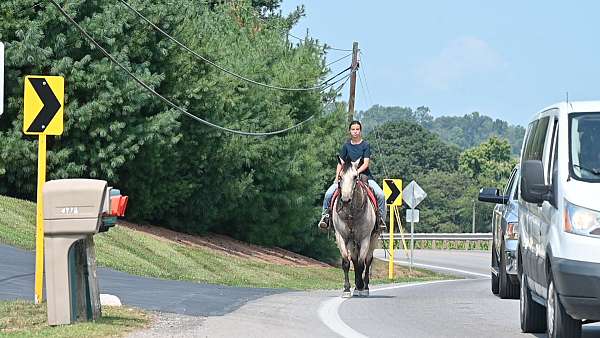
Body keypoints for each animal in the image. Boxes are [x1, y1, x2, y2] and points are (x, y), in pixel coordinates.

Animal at [330, 157, 378, 298]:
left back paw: (364, 287)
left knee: (368, 261)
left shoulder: (365, 238)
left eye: (355, 177)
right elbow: (347, 262)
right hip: (352, 242)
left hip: (373, 239)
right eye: (340, 177)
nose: (345, 200)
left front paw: (361, 286)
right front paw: (347, 289)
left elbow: (362, 264)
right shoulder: (341, 236)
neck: (351, 213)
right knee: (355, 261)